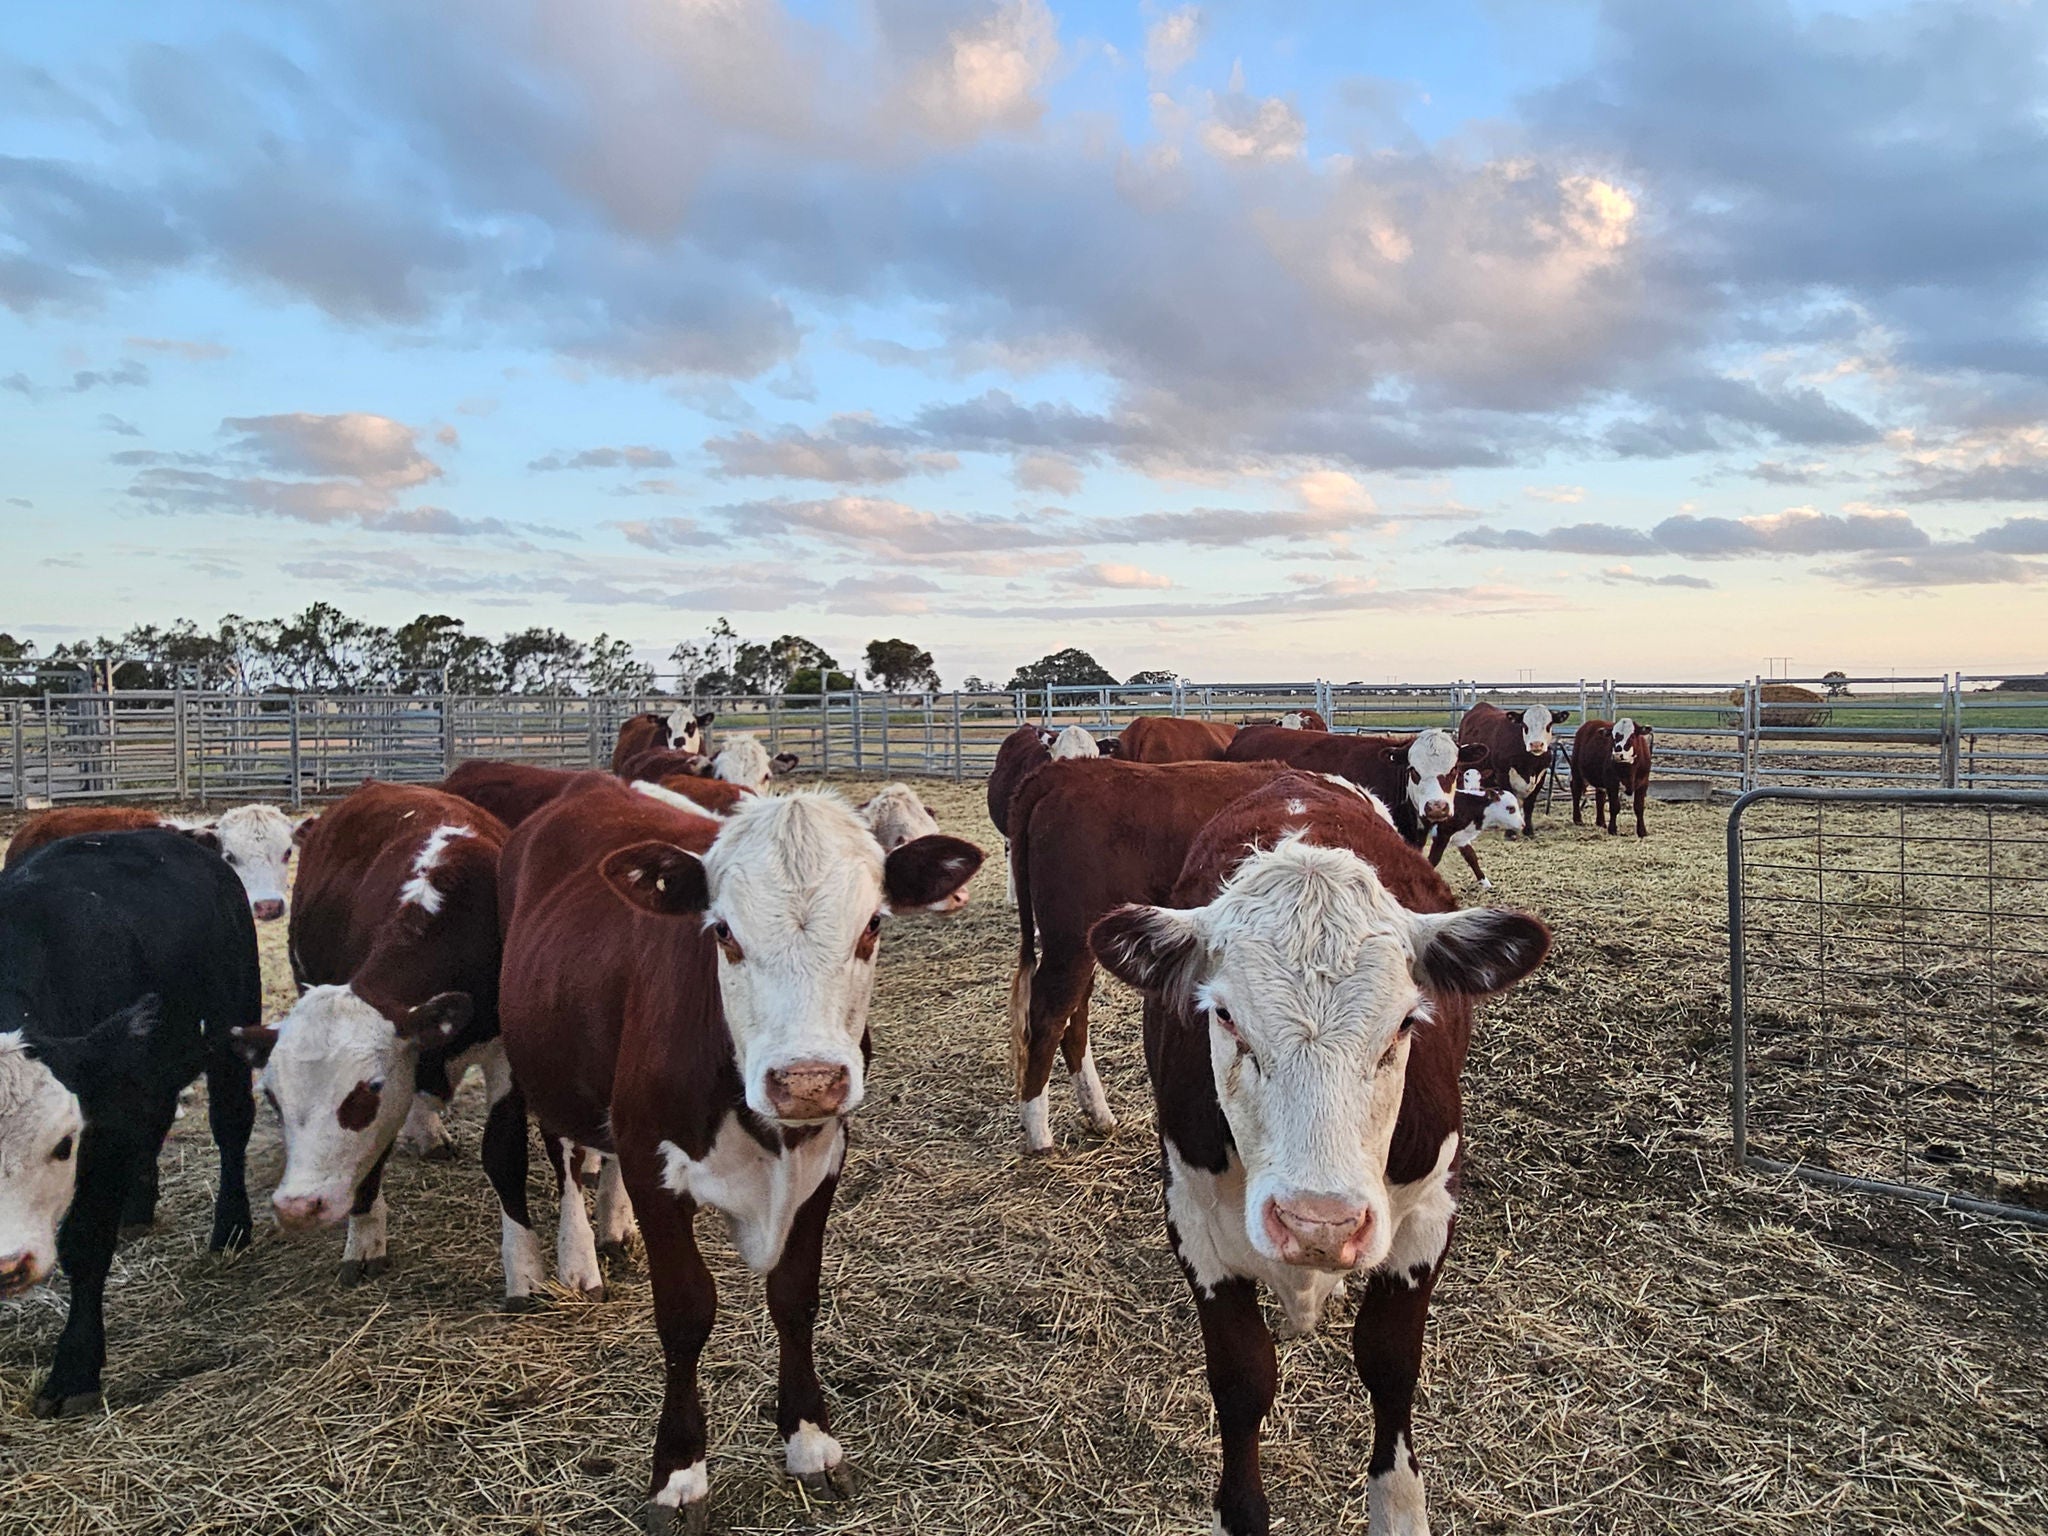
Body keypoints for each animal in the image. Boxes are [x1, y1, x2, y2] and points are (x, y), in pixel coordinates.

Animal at [0, 830, 260, 1416]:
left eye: (63, 1145)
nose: (6, 1266)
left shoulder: (108, 1122)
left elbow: (86, 1242)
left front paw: (75, 1368)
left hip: (232, 1030)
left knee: (231, 1127)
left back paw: (231, 1226)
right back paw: (138, 1205)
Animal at [496, 776, 981, 1529]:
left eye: (873, 924)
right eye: (722, 931)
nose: (807, 1079)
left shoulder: (824, 1161)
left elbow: (795, 1297)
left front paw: (810, 1441)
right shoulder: (654, 1166)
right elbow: (686, 1312)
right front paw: (678, 1474)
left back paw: (611, 1229)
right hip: (533, 1062)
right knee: (554, 1151)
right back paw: (567, 1259)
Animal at [1007, 757, 1294, 1153]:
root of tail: (1065, 770)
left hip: (1084, 944)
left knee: (1074, 1016)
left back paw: (1098, 1114)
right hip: (1069, 938)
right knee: (1050, 1016)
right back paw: (1038, 1132)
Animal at [1089, 772, 1550, 1536]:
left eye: (1406, 1023)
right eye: (1224, 1016)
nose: (1319, 1224)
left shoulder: (1429, 1211)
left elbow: (1390, 1362)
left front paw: (1399, 1507)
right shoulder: (1192, 1219)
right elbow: (1242, 1378)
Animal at [1457, 702, 1569, 840]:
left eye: (1549, 724)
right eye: (1525, 725)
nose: (1536, 744)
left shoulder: (1541, 776)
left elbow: (1529, 805)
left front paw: (1529, 831)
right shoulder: (1503, 774)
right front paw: (1510, 832)